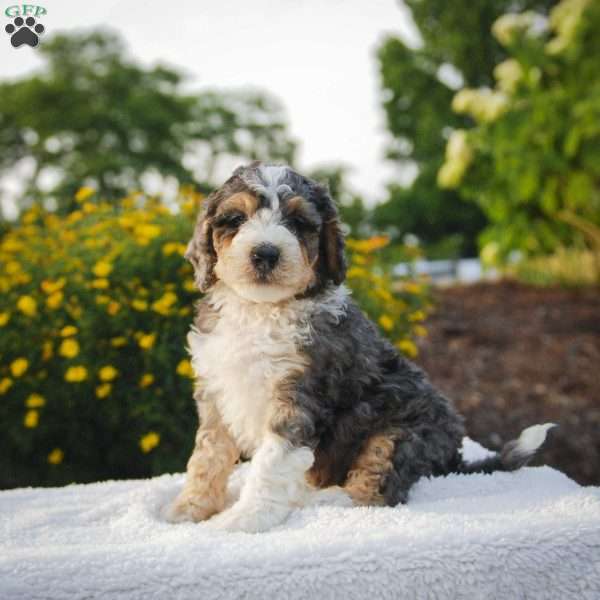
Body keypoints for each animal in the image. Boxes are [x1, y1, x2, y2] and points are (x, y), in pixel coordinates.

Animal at [164, 162, 552, 532]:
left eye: (298, 222)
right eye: (235, 219)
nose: (266, 253)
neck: (261, 310)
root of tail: (453, 455)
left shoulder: (298, 398)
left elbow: (271, 463)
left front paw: (246, 517)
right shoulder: (216, 392)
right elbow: (207, 455)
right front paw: (189, 509)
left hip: (400, 435)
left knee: (380, 486)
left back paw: (329, 499)